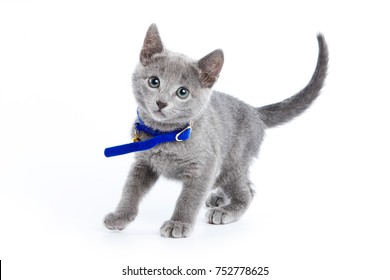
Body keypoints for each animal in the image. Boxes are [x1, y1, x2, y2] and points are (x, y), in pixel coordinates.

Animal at [103, 24, 326, 238]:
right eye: (154, 81)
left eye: (182, 92)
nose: (161, 102)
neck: (163, 134)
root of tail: (254, 111)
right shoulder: (142, 163)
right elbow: (130, 190)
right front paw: (120, 216)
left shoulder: (206, 165)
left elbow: (189, 197)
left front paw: (179, 223)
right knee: (249, 187)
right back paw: (219, 198)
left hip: (232, 162)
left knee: (247, 192)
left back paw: (224, 211)